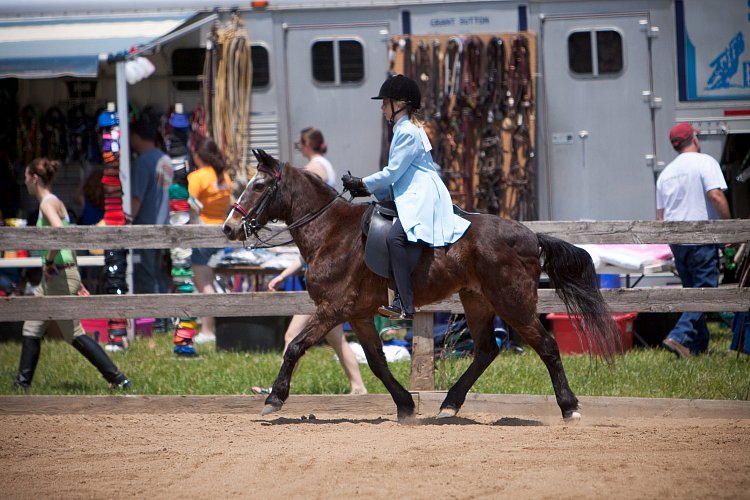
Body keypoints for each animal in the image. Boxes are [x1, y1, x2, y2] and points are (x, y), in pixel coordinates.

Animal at [225, 149, 624, 422]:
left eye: (258, 185)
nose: (229, 227)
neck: (330, 232)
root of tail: (530, 235)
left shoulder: (333, 309)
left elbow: (295, 347)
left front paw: (274, 398)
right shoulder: (359, 314)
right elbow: (376, 362)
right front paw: (404, 405)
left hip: (514, 304)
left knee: (547, 347)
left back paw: (569, 407)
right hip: (477, 300)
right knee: (485, 350)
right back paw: (449, 404)